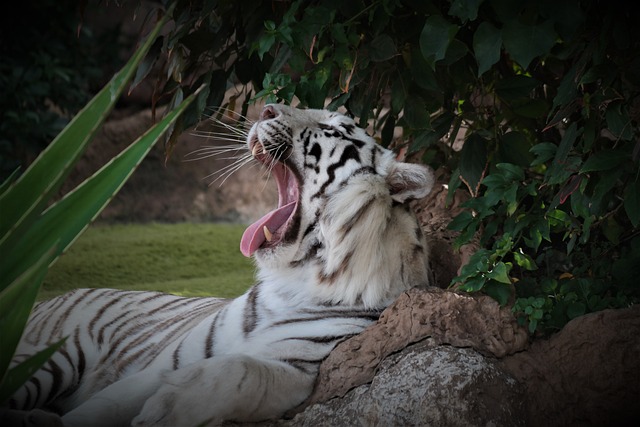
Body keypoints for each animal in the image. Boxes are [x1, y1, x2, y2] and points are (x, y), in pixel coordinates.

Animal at [4, 103, 434, 426]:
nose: (266, 107)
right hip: (55, 354)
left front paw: (169, 409)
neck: (294, 279)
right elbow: (106, 405)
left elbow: (241, 369)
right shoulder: (170, 358)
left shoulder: (297, 368)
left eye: (335, 127)